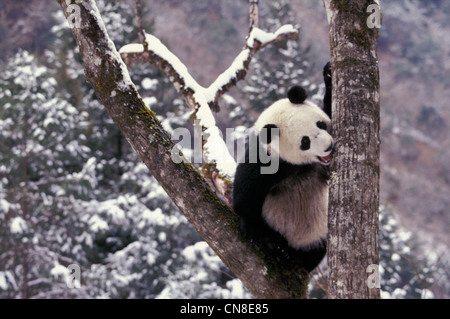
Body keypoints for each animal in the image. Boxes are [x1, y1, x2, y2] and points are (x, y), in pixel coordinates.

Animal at [234, 63, 332, 272]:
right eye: (305, 142)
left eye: (320, 124)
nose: (329, 146)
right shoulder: (264, 163)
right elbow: (244, 199)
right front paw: (255, 231)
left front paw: (329, 74)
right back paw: (284, 248)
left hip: (318, 229)